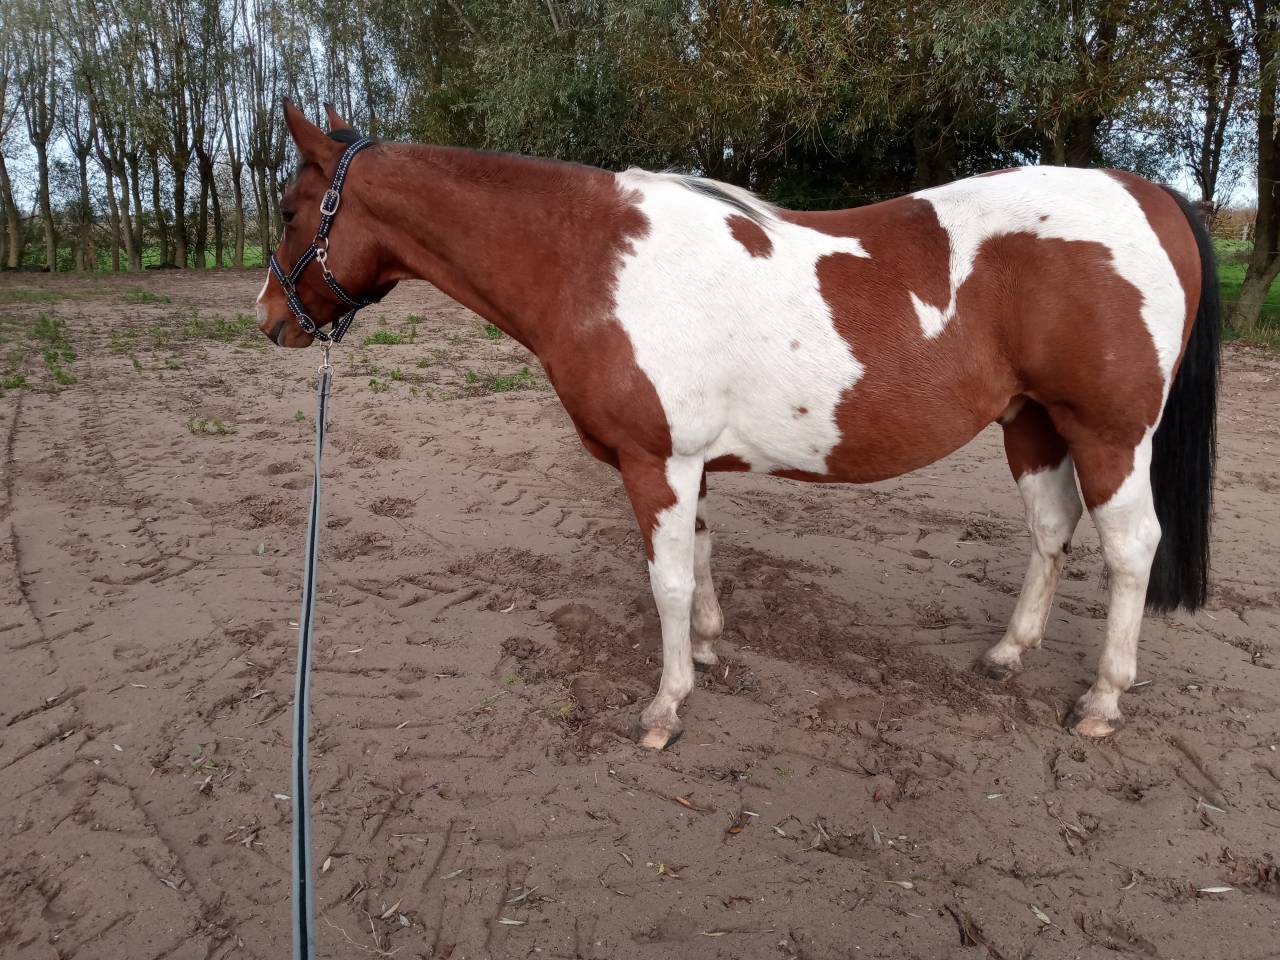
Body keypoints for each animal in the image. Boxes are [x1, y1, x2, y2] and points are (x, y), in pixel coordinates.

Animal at [257, 101, 1219, 750]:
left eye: (289, 209)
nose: (268, 317)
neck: (590, 260)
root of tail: (1146, 195)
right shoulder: (687, 465)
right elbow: (703, 557)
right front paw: (711, 651)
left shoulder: (655, 461)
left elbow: (668, 583)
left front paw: (666, 705)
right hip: (1033, 424)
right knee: (1051, 529)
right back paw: (1009, 653)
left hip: (1108, 434)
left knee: (1131, 548)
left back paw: (1103, 700)